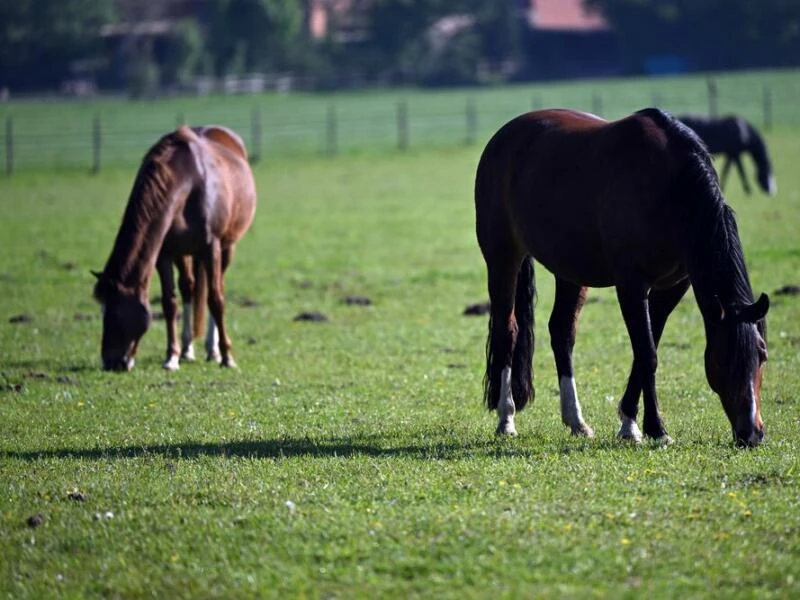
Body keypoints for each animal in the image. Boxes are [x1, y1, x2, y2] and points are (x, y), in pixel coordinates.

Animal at [93, 124, 256, 370]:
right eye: (103, 311)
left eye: (118, 312)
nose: (111, 363)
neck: (190, 181)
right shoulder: (165, 253)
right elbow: (169, 303)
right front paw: (172, 357)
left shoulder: (212, 248)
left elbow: (215, 299)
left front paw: (227, 357)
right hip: (184, 253)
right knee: (189, 287)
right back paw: (188, 350)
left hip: (227, 247)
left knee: (217, 287)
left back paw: (214, 350)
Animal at [476, 106, 768, 446]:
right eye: (724, 359)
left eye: (762, 355)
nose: (752, 433)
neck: (672, 189)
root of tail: (503, 137)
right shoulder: (632, 285)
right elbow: (647, 353)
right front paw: (655, 429)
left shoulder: (672, 288)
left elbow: (645, 351)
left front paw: (630, 422)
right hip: (503, 258)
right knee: (507, 330)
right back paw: (506, 418)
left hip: (570, 269)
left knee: (562, 332)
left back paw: (576, 421)